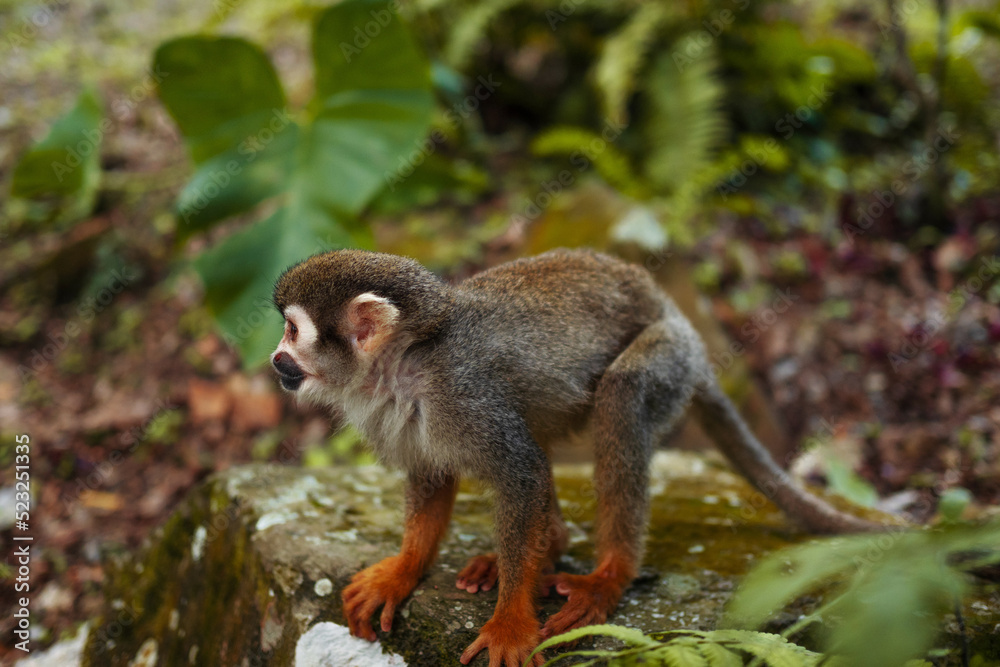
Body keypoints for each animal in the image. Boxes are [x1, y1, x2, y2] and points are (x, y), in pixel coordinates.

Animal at [270, 248, 882, 667]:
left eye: (293, 330)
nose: (276, 359)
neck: (405, 364)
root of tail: (675, 313)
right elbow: (432, 475)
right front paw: (403, 570)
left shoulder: (464, 395)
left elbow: (519, 474)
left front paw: (511, 622)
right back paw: (548, 546)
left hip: (669, 354)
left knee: (622, 394)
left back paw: (609, 575)